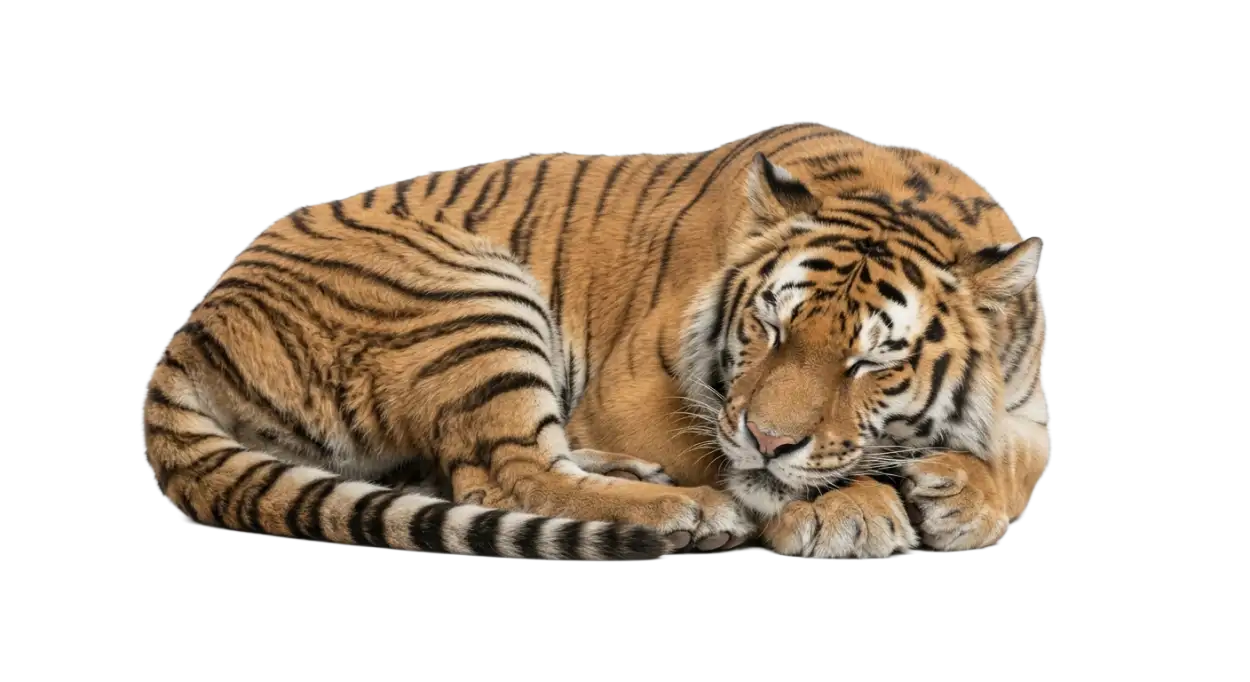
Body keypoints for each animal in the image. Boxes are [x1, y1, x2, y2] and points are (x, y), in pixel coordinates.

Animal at [141, 120, 1049, 560]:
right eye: (768, 327)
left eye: (871, 362)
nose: (768, 439)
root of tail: (196, 323)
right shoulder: (644, 398)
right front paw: (854, 511)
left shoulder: (1031, 402)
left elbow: (1023, 458)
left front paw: (957, 495)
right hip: (475, 295)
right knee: (506, 473)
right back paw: (684, 509)